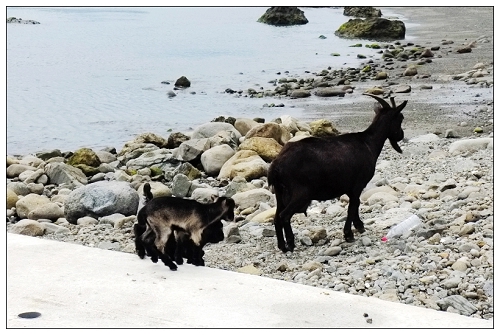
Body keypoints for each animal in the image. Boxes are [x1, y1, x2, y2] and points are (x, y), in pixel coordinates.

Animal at [268, 94, 404, 252]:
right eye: (400, 118)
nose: (401, 135)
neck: (368, 143)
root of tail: (276, 166)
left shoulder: (351, 188)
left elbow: (355, 205)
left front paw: (359, 226)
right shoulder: (357, 185)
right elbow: (352, 207)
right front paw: (349, 234)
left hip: (280, 193)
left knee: (277, 217)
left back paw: (281, 246)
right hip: (300, 193)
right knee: (284, 216)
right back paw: (290, 244)